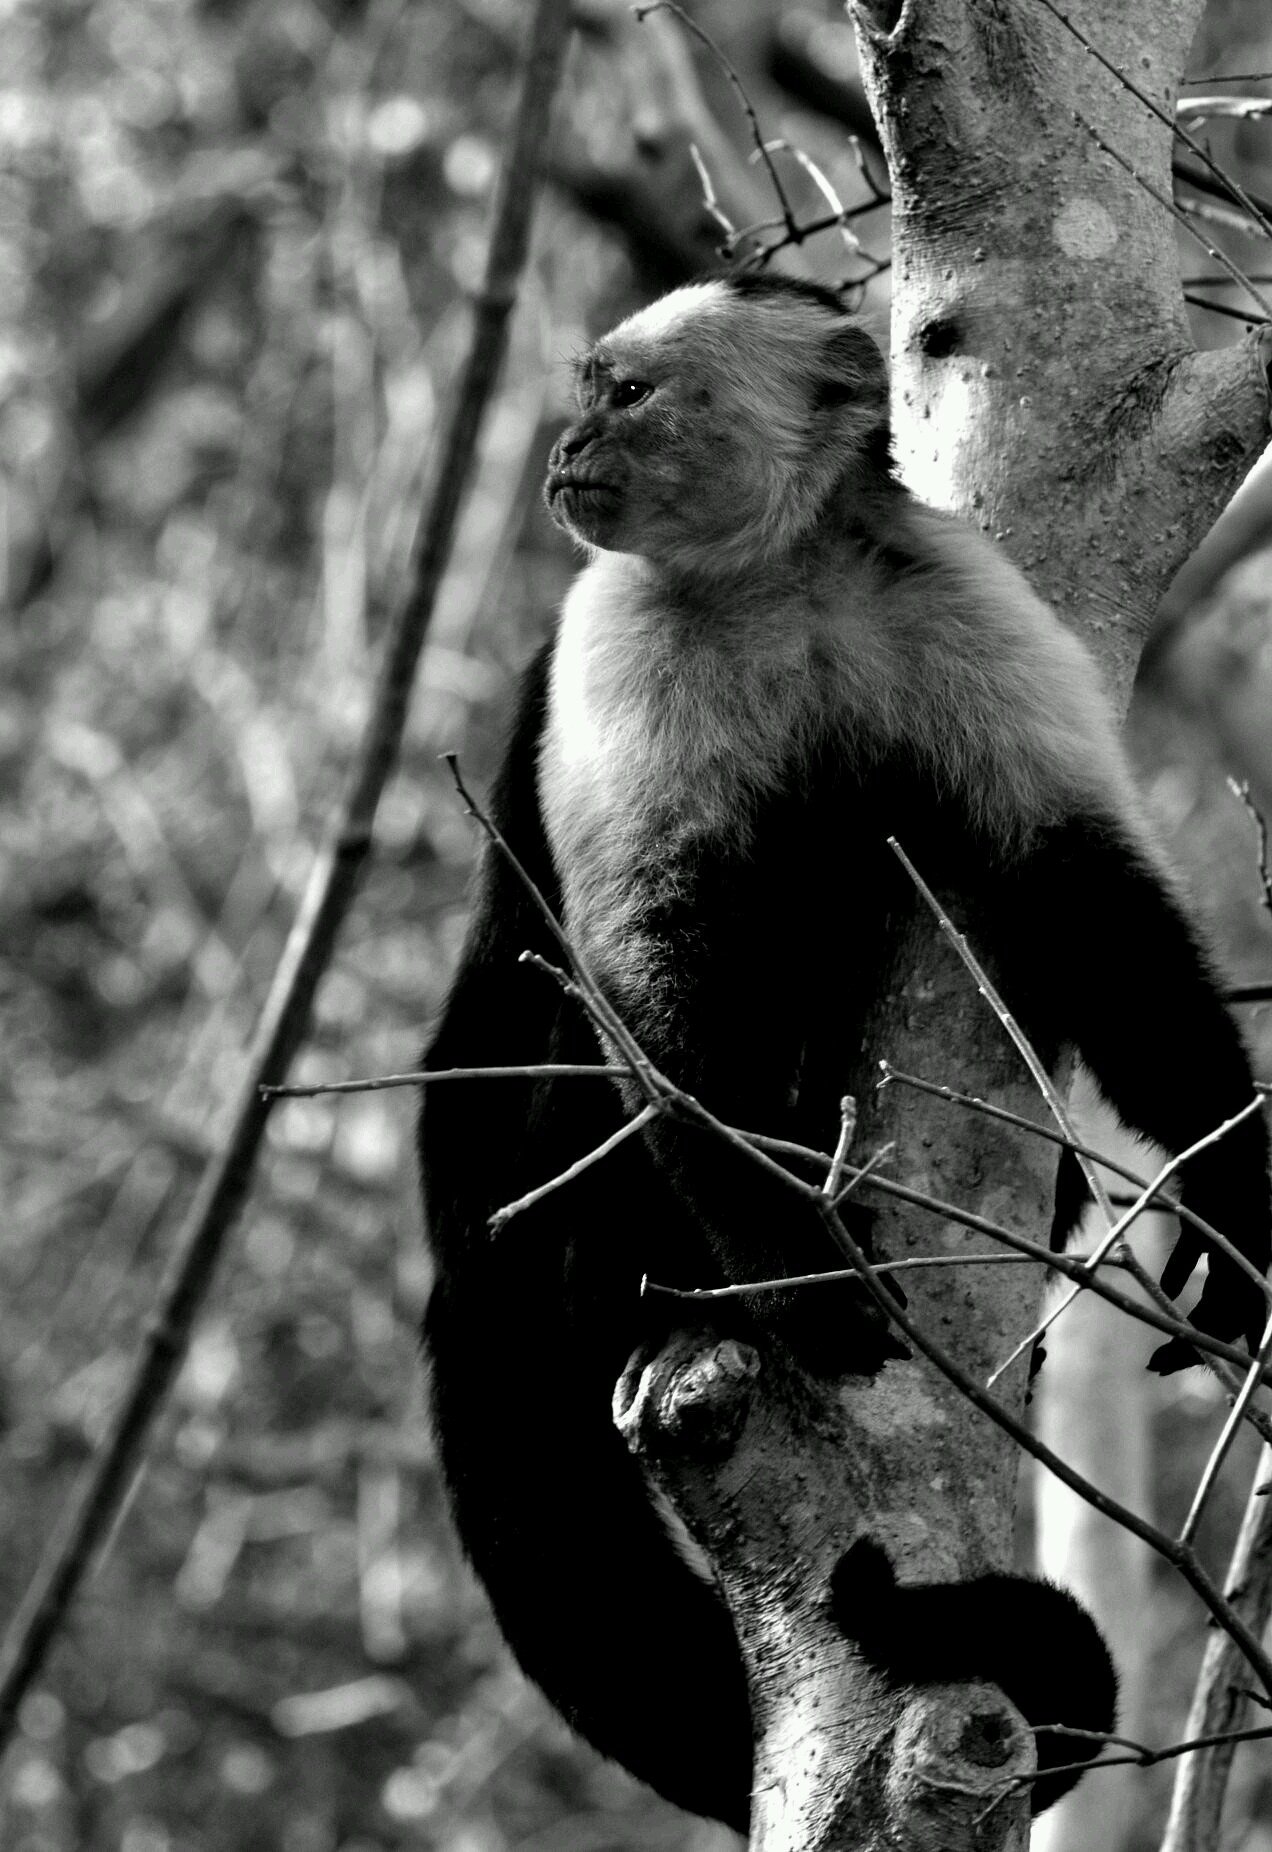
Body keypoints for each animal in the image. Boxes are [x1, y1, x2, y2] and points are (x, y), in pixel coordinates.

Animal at [419, 273, 1270, 1826]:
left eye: (623, 393)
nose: (564, 450)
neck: (776, 576)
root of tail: (459, 1250)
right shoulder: (616, 628)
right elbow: (650, 960)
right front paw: (797, 1264)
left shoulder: (952, 592)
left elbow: (1083, 894)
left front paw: (1233, 1201)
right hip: (529, 1187)